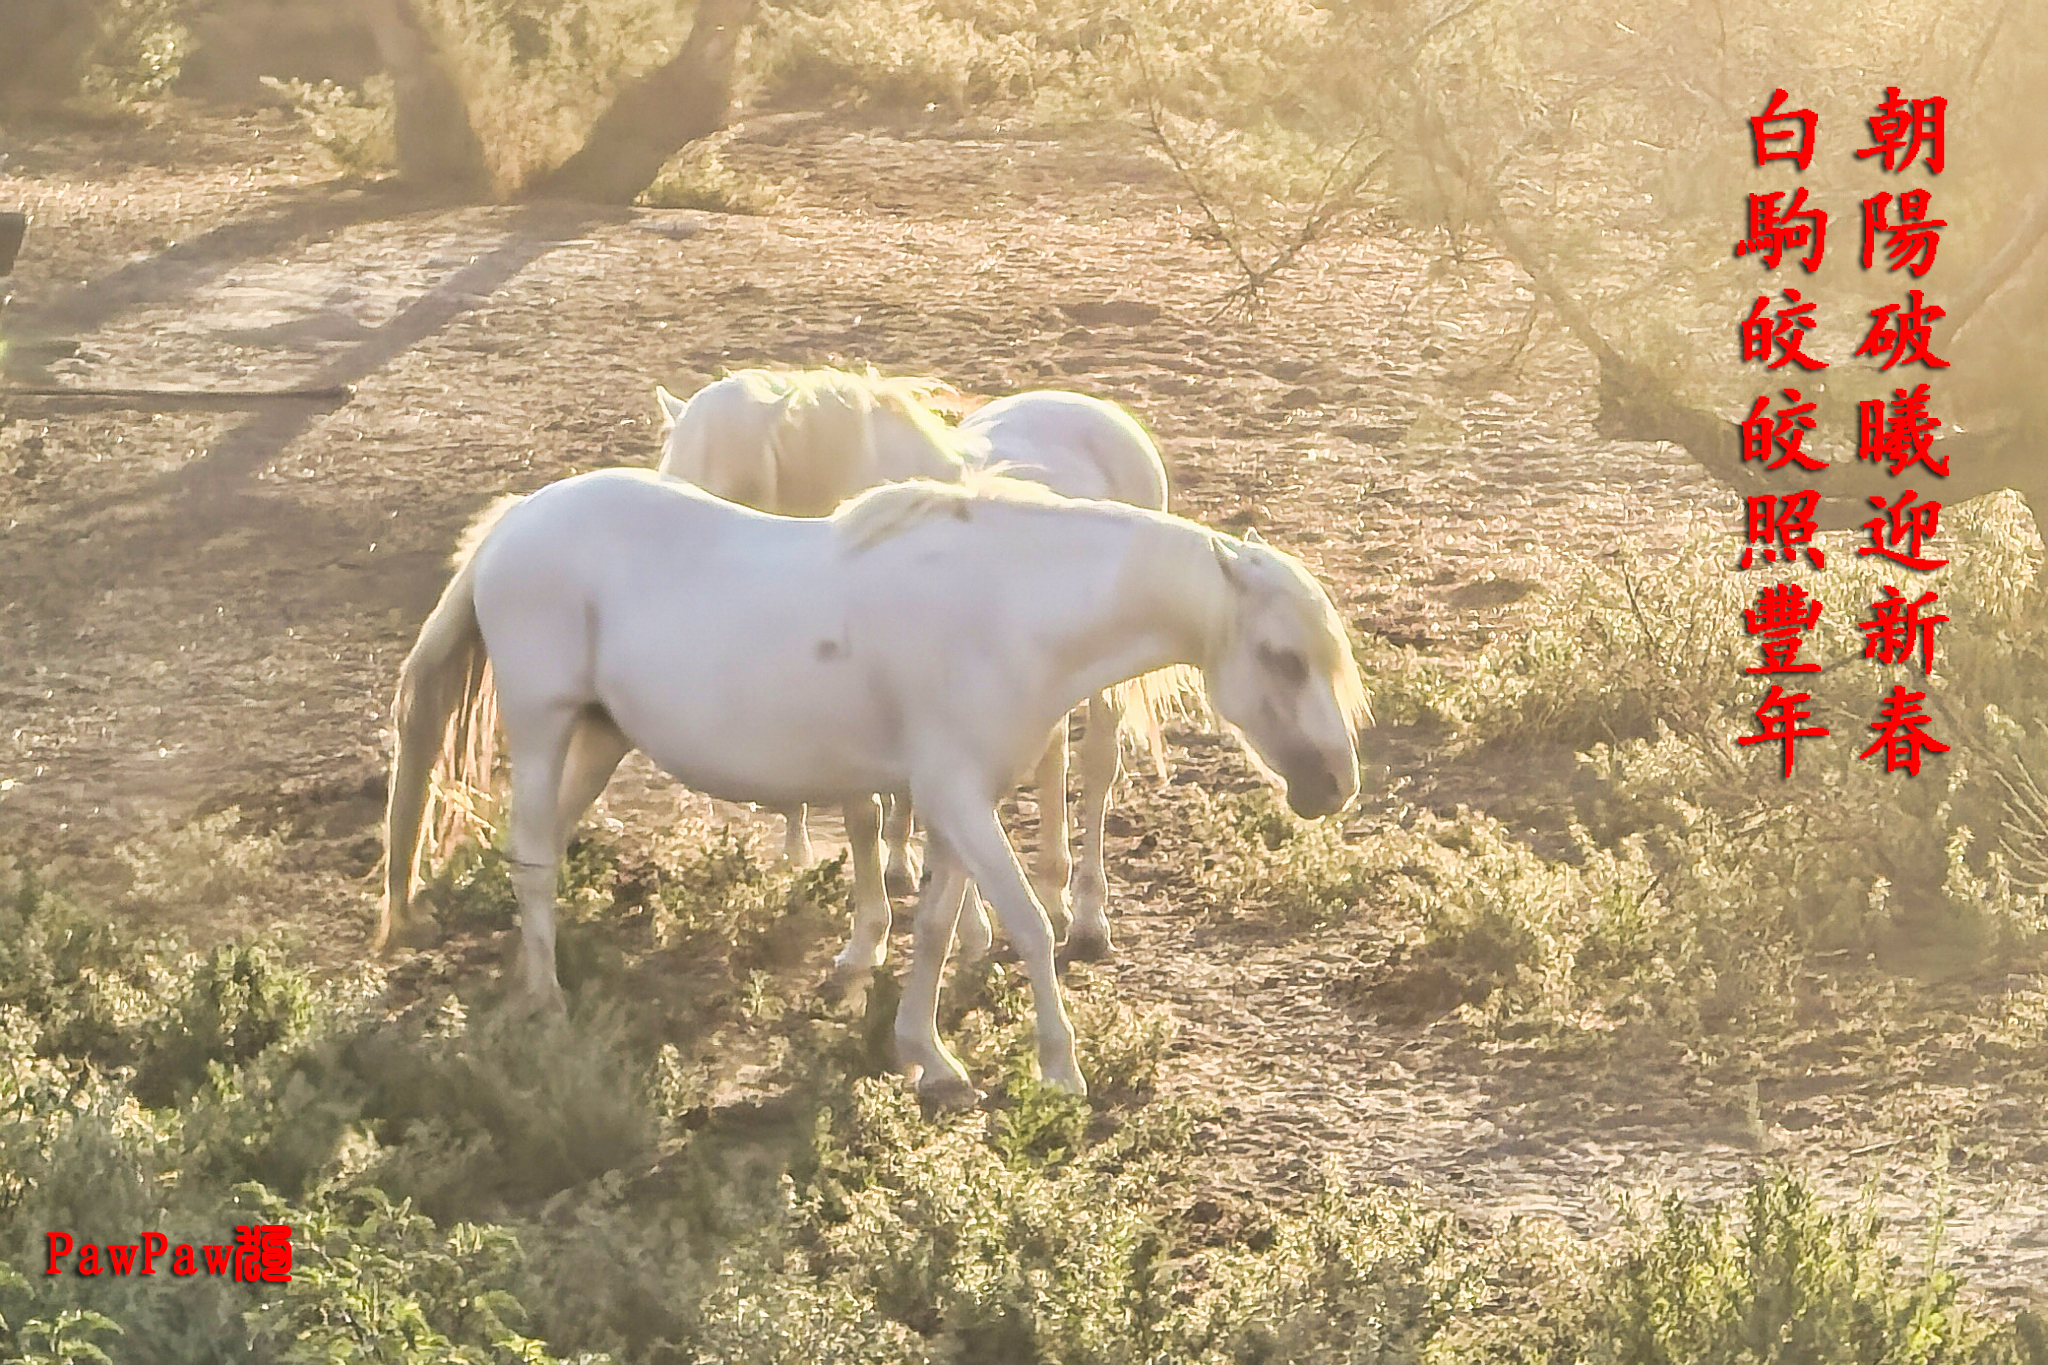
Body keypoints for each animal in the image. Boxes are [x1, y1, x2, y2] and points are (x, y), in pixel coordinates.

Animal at [380, 470, 1369, 1105]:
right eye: (1283, 658)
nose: (1335, 785)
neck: (1009, 611)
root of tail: (515, 523)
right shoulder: (959, 796)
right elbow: (1030, 924)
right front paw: (1059, 1068)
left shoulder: (955, 801)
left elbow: (934, 926)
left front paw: (926, 1057)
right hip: (544, 725)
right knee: (534, 854)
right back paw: (548, 1003)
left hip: (597, 737)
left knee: (538, 848)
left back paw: (527, 980)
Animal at [655, 368, 1182, 968]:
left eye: (730, 486)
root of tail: (1100, 412)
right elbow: (864, 817)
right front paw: (868, 941)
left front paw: (966, 929)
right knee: (1052, 767)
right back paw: (1051, 897)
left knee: (1096, 772)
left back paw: (1088, 919)